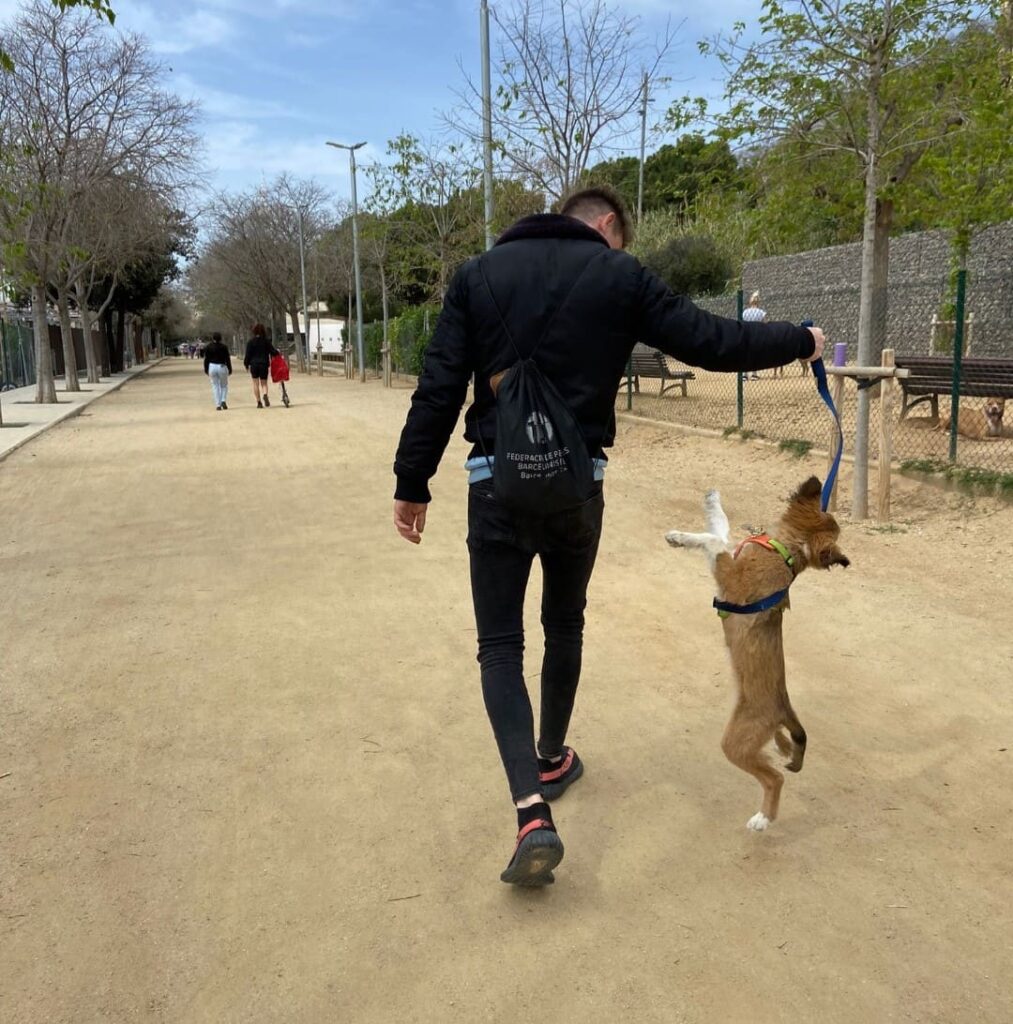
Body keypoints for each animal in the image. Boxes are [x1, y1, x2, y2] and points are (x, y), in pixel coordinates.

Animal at [663, 479, 843, 831]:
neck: (785, 554)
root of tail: (782, 707)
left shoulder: (728, 570)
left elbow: (714, 539)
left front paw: (682, 536)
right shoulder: (732, 553)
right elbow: (720, 526)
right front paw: (711, 504)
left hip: (735, 743)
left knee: (774, 779)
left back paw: (763, 818)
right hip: (762, 735)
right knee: (784, 747)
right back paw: (786, 751)